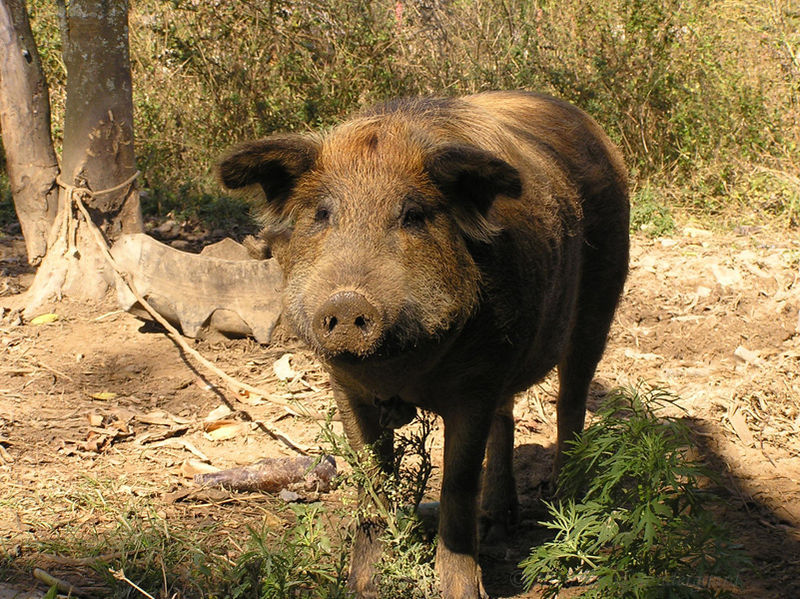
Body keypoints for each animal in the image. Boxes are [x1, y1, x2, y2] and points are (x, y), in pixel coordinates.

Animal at [219, 90, 632, 599]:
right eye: (321, 214)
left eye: (413, 214)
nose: (348, 300)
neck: (402, 373)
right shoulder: (346, 385)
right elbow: (372, 483)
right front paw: (362, 587)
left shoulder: (476, 384)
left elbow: (457, 485)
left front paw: (464, 593)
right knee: (508, 418)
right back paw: (498, 529)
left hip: (603, 293)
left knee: (570, 398)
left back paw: (566, 506)